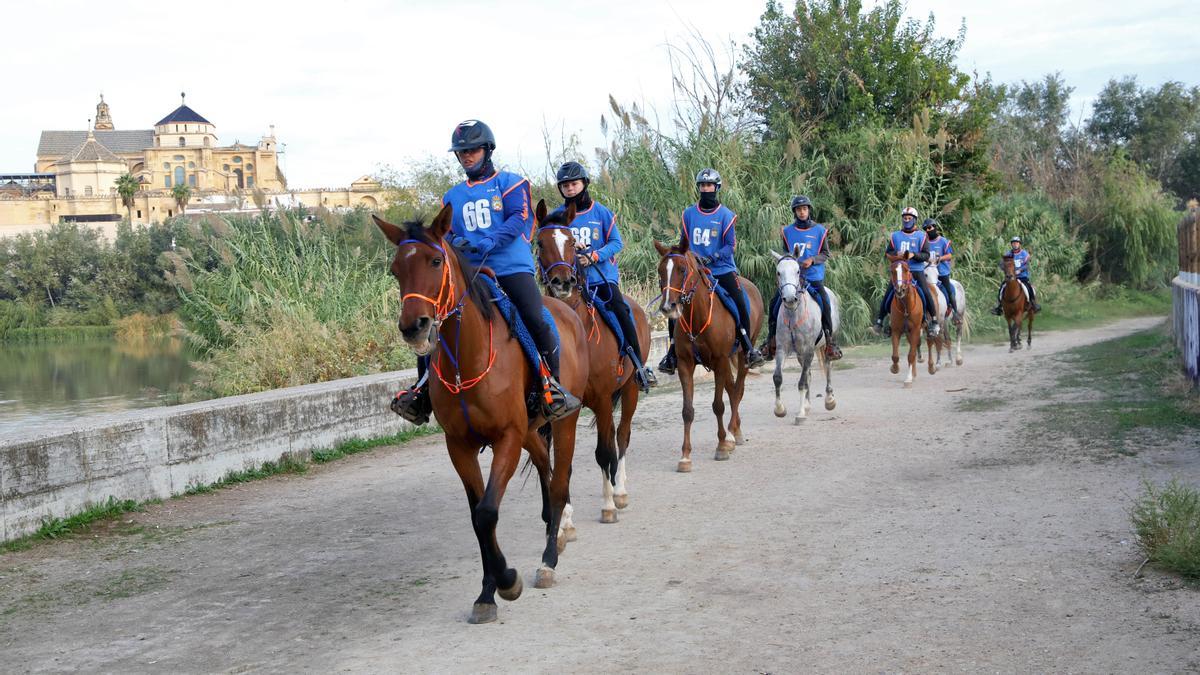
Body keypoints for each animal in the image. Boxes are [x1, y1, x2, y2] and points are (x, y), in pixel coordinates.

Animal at [369, 204, 585, 619]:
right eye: (395, 269)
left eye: (436, 260)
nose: (414, 326)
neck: (465, 358)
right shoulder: (459, 445)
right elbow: (477, 517)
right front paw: (487, 592)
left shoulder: (507, 438)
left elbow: (487, 512)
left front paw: (508, 581)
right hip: (532, 431)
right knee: (546, 472)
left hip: (563, 424)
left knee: (560, 484)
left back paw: (549, 560)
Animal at [532, 196, 648, 523]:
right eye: (540, 242)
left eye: (573, 241)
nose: (562, 282)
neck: (579, 333)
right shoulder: (558, 410)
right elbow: (560, 464)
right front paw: (564, 517)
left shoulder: (602, 398)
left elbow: (604, 452)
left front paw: (608, 505)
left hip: (629, 390)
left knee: (621, 436)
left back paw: (619, 491)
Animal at [652, 239, 763, 470]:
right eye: (660, 270)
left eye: (682, 269)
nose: (668, 306)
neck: (697, 315)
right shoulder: (685, 365)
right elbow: (687, 411)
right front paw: (685, 456)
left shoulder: (719, 361)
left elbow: (718, 405)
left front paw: (721, 447)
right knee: (732, 389)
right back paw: (733, 433)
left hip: (742, 356)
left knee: (737, 391)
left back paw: (732, 435)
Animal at [772, 247, 840, 422]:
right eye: (778, 272)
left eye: (797, 271)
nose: (790, 298)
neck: (793, 314)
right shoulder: (782, 349)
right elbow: (778, 378)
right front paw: (780, 409)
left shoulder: (809, 349)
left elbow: (802, 381)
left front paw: (801, 414)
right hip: (800, 353)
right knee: (808, 372)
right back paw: (808, 404)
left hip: (825, 346)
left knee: (828, 367)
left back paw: (829, 400)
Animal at [892, 258, 926, 386]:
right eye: (892, 271)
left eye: (906, 270)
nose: (900, 289)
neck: (906, 306)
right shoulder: (896, 330)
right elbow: (895, 356)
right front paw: (894, 368)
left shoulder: (916, 329)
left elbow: (911, 355)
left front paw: (908, 378)